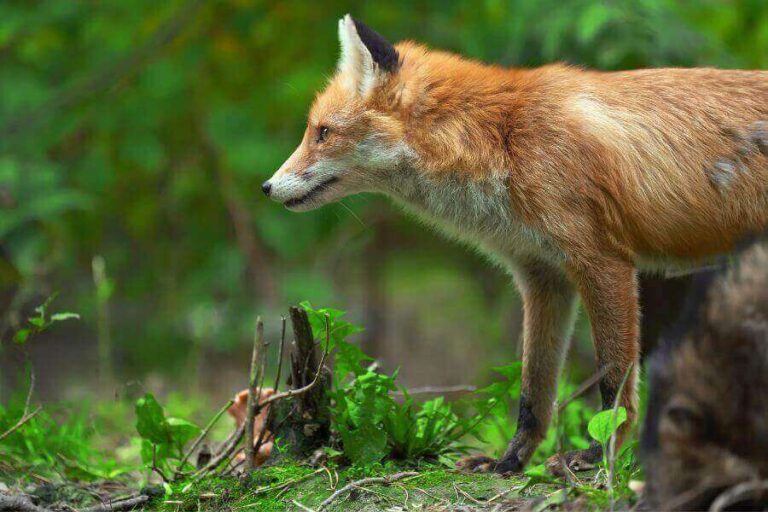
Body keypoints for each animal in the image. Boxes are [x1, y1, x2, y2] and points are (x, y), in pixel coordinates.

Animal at [263, 15, 768, 474]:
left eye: (323, 132)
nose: (267, 187)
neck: (502, 138)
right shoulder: (541, 276)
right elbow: (533, 393)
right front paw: (510, 462)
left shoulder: (603, 262)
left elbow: (613, 384)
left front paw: (597, 457)